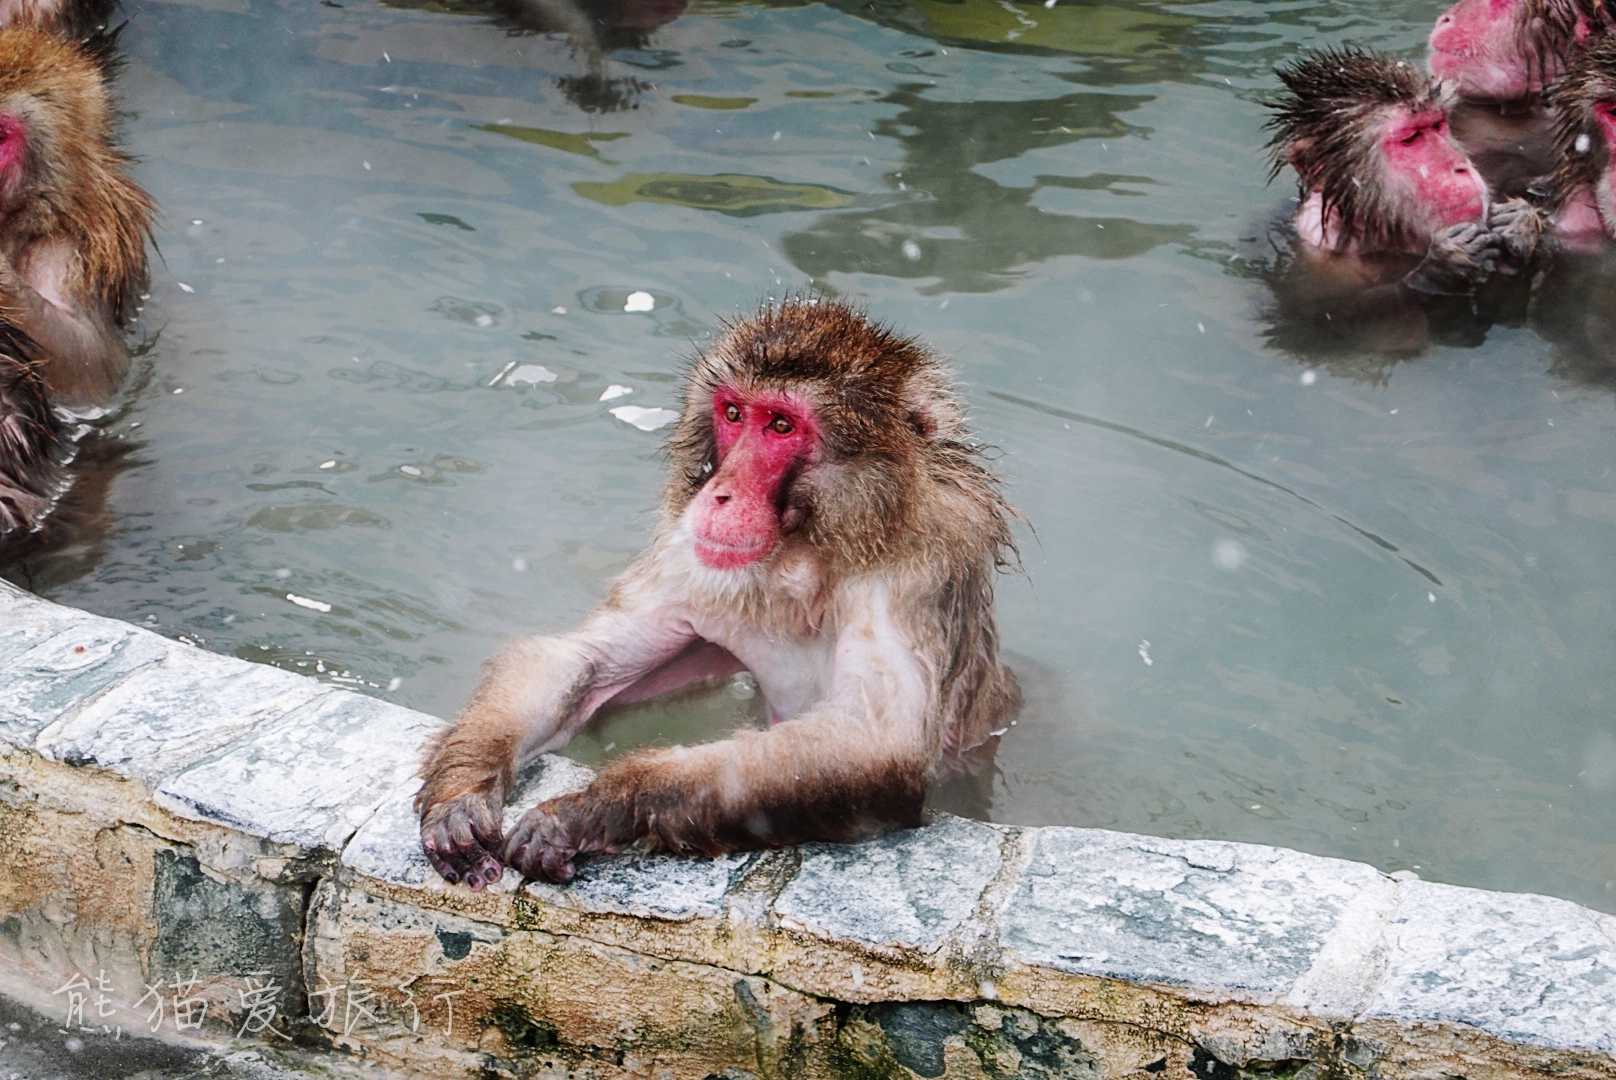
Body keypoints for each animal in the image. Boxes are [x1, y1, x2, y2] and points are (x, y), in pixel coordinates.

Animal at [416, 297, 1021, 885]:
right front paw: (461, 792)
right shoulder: (689, 556)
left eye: (781, 425)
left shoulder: (915, 573)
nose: (720, 493)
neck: (810, 552)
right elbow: (586, 660)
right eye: (733, 414)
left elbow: (878, 744)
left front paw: (595, 807)